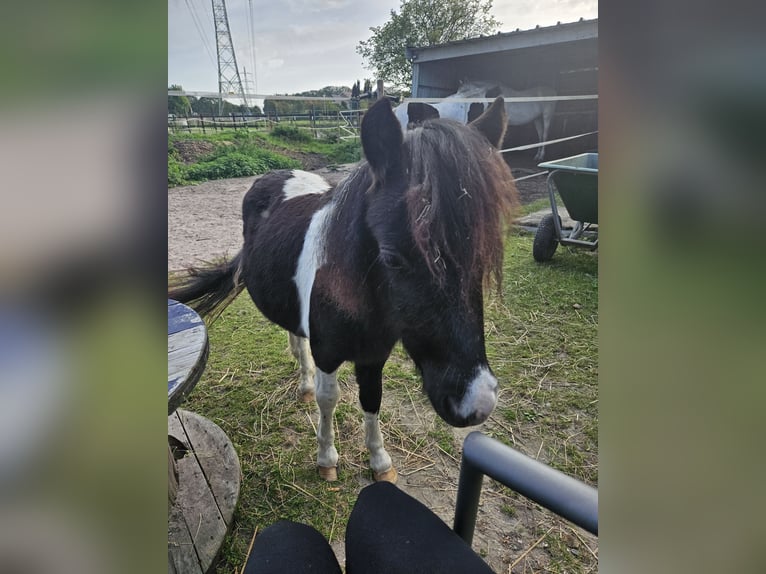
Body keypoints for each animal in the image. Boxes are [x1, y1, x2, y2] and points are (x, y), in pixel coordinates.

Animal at [172, 97, 520, 484]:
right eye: (392, 258)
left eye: (485, 253)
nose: (477, 402)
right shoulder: (327, 353)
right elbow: (329, 399)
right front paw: (327, 459)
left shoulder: (373, 357)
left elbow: (372, 400)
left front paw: (380, 461)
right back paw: (305, 385)